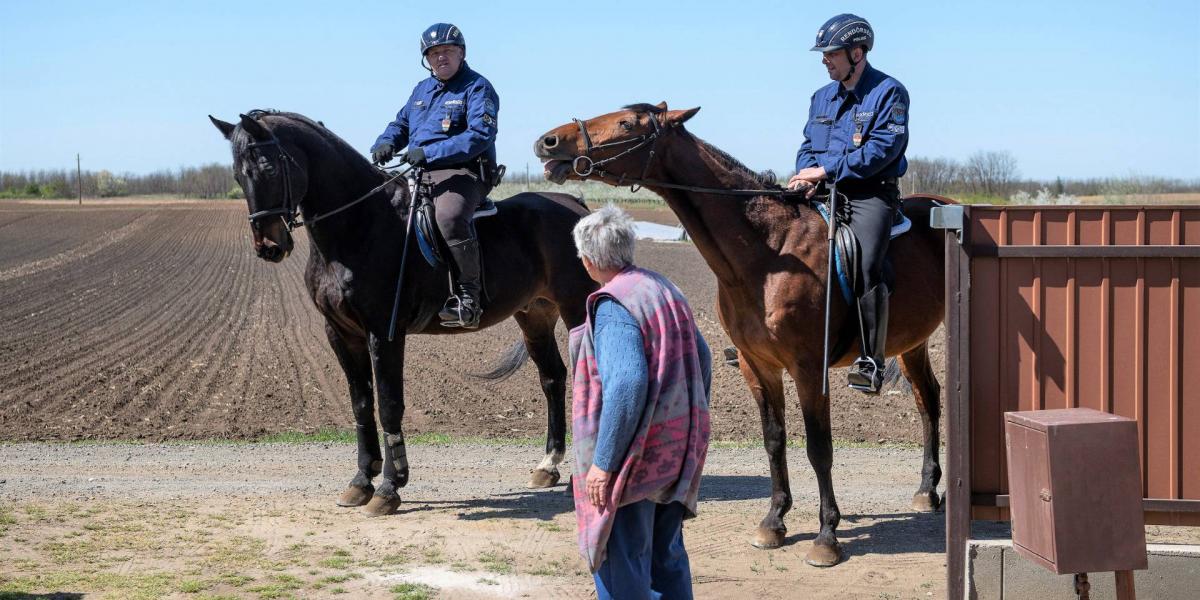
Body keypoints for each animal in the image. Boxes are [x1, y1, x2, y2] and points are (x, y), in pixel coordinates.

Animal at [535, 103, 945, 566]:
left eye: (625, 123)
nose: (548, 142)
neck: (770, 252)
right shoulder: (758, 365)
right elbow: (774, 440)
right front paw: (774, 521)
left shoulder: (808, 369)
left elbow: (819, 449)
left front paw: (826, 536)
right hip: (912, 344)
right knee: (928, 400)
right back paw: (927, 490)